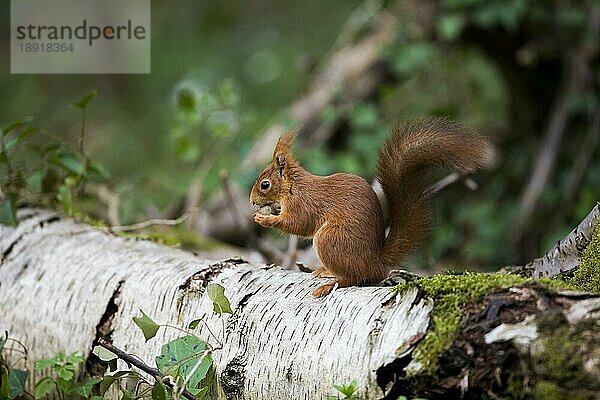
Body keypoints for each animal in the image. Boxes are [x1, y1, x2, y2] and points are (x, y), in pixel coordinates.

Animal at [248, 119, 492, 296]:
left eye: (265, 184)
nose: (251, 201)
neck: (293, 186)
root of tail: (375, 263)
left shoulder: (303, 203)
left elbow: (298, 224)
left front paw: (264, 219)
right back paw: (325, 272)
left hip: (329, 239)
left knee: (354, 278)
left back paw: (330, 283)